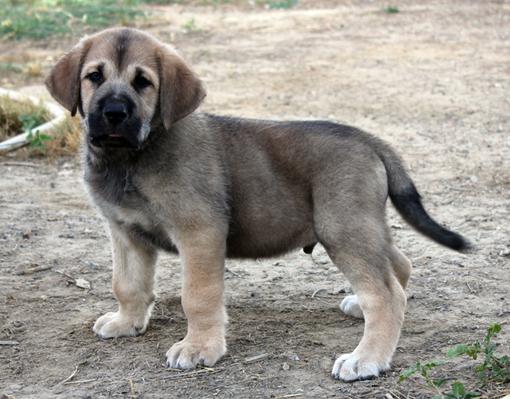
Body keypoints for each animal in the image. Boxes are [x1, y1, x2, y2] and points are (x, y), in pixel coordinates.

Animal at [45, 26, 472, 382]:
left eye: (143, 83)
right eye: (94, 77)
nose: (114, 113)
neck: (131, 158)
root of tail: (369, 139)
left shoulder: (199, 234)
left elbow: (197, 297)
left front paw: (199, 348)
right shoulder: (126, 233)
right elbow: (127, 284)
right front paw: (127, 322)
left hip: (344, 230)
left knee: (386, 295)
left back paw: (367, 358)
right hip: (361, 228)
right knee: (398, 265)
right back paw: (362, 313)